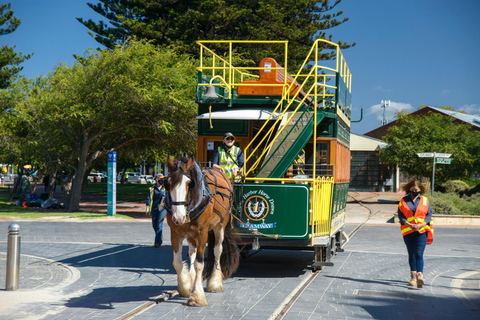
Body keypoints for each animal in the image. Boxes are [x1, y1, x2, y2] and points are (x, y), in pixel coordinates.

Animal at [164, 154, 240, 306]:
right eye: (167, 183)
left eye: (189, 183)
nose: (179, 217)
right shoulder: (175, 233)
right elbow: (177, 262)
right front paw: (186, 287)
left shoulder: (202, 233)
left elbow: (199, 264)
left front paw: (197, 296)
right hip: (190, 234)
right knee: (192, 252)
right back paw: (192, 278)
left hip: (220, 226)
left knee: (217, 250)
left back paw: (215, 282)